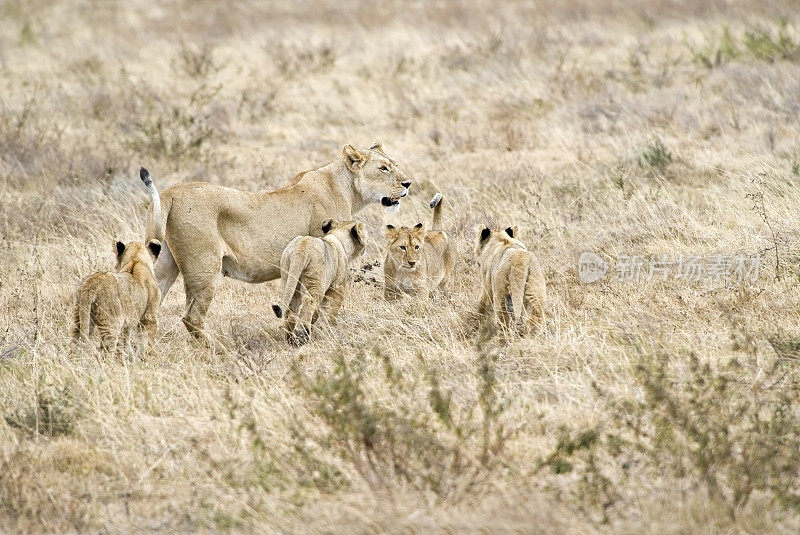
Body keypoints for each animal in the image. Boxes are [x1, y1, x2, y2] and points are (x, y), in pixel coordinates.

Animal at [139, 142, 412, 342]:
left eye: (396, 165)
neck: (345, 187)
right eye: (383, 168)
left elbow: (294, 306)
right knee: (192, 317)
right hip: (204, 267)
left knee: (150, 307)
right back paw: (216, 349)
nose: (408, 183)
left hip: (164, 264)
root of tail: (170, 192)